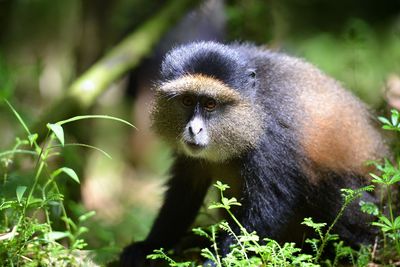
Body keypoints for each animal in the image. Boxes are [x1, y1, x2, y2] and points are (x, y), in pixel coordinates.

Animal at [120, 40, 390, 266]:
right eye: (187, 101)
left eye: (210, 104)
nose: (194, 129)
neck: (249, 108)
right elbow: (183, 192)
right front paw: (149, 246)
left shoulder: (270, 140)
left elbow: (268, 207)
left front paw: (220, 261)